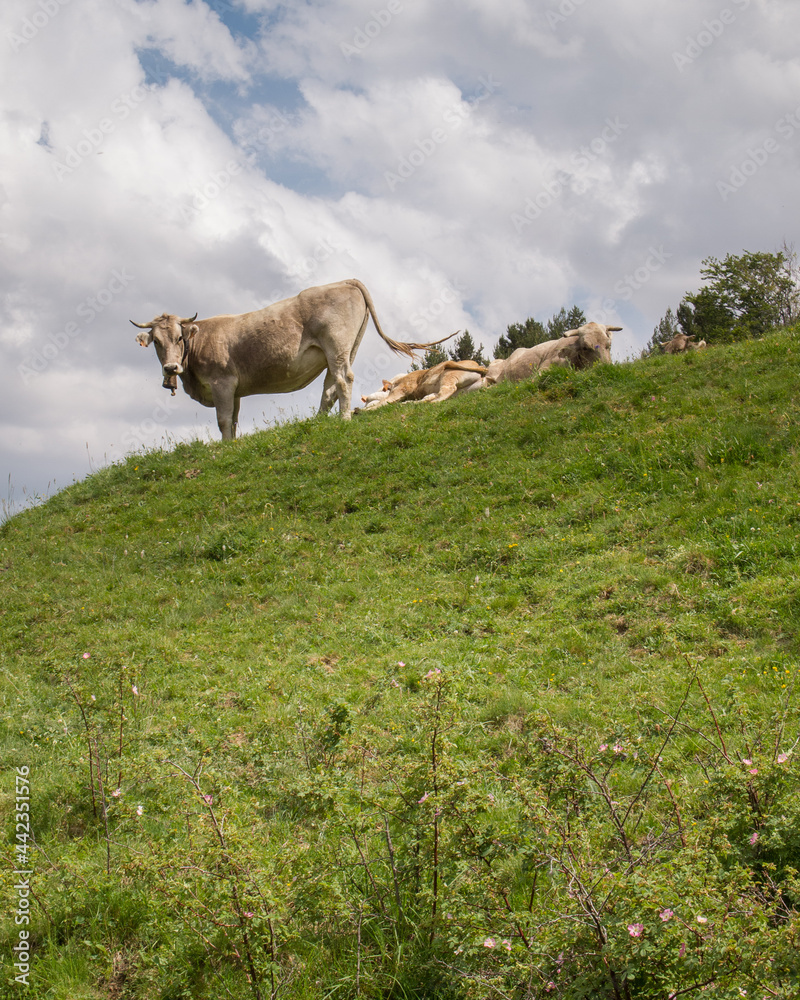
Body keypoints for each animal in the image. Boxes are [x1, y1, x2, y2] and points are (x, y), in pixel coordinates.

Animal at [131, 279, 455, 439]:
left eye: (179, 337)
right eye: (156, 342)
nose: (171, 367)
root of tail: (345, 281)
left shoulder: (222, 383)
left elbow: (223, 421)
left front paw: (224, 448)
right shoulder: (234, 391)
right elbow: (233, 421)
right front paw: (232, 444)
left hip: (336, 346)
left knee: (344, 380)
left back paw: (344, 419)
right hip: (344, 350)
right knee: (330, 387)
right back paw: (319, 421)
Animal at [358, 359, 487, 409]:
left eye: (369, 400)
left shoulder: (403, 388)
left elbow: (384, 401)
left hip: (449, 373)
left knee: (447, 390)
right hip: (464, 390)